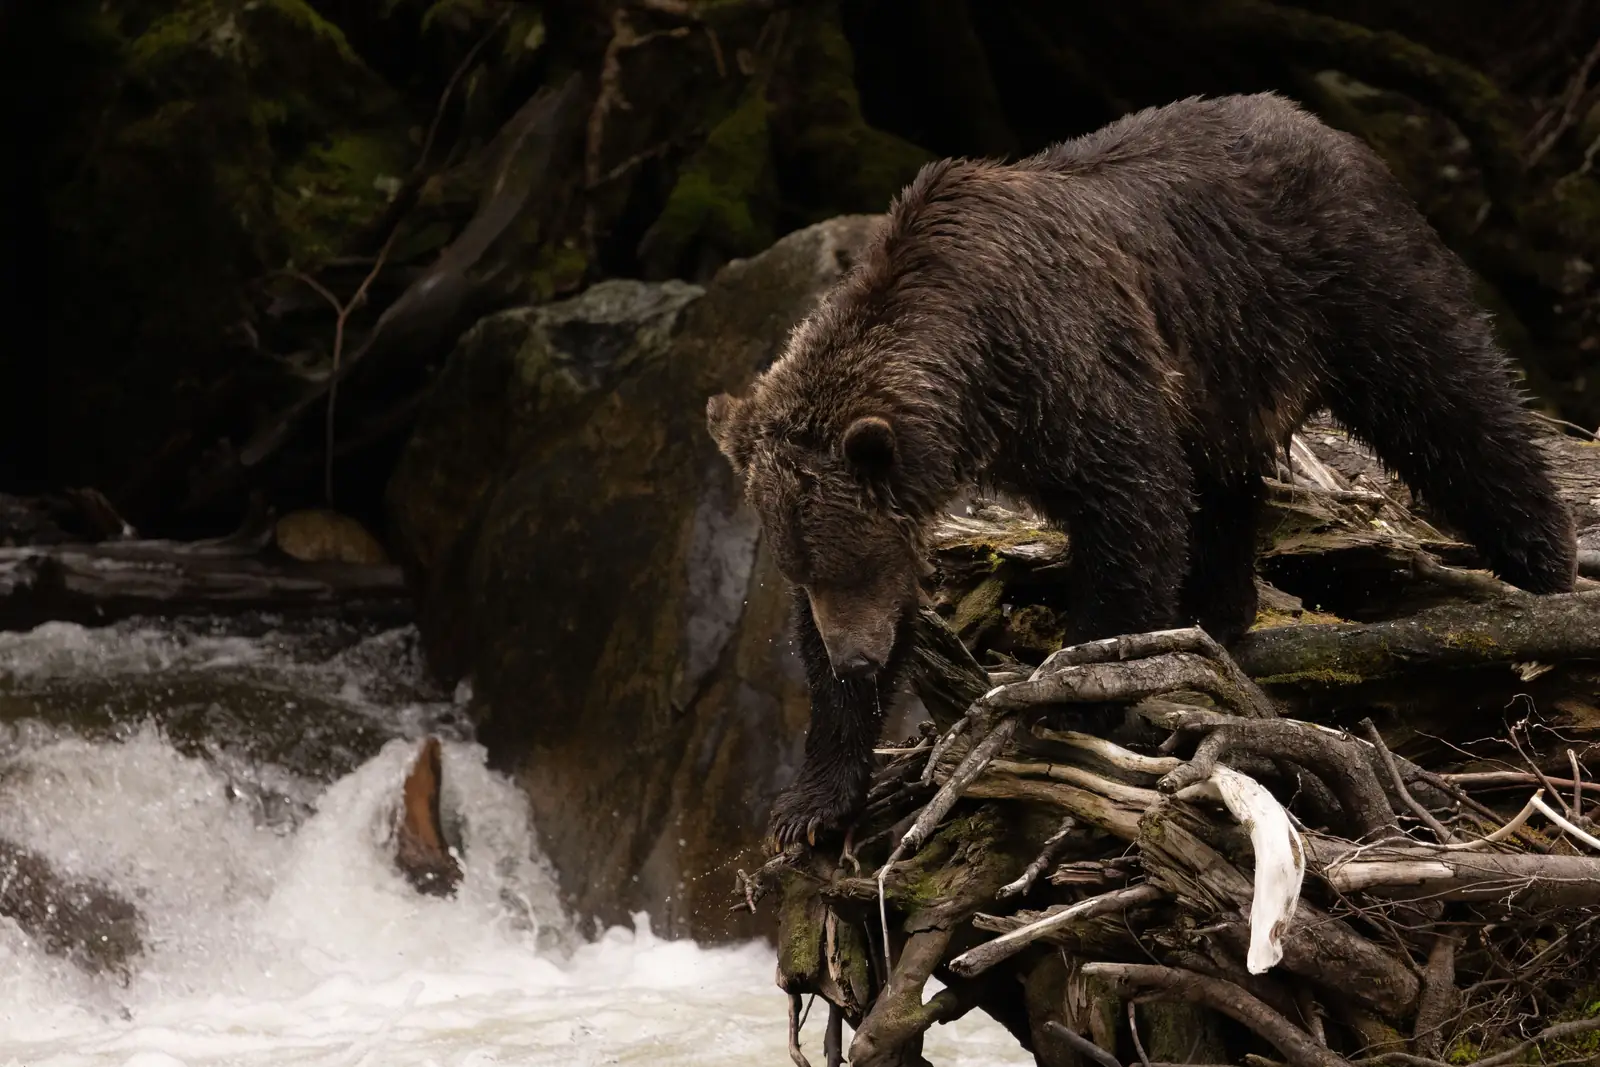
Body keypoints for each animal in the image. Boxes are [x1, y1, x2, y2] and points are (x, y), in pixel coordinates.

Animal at [705, 92, 1579, 848]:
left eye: (852, 557)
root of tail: (1326, 128)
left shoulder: (1072, 365)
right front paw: (812, 803)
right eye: (801, 568)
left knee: (1447, 397)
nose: (856, 657)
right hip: (1228, 357)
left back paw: (1544, 563)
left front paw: (1077, 700)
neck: (975, 371)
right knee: (1225, 486)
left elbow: (1134, 504)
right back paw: (1221, 610)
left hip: (1347, 277)